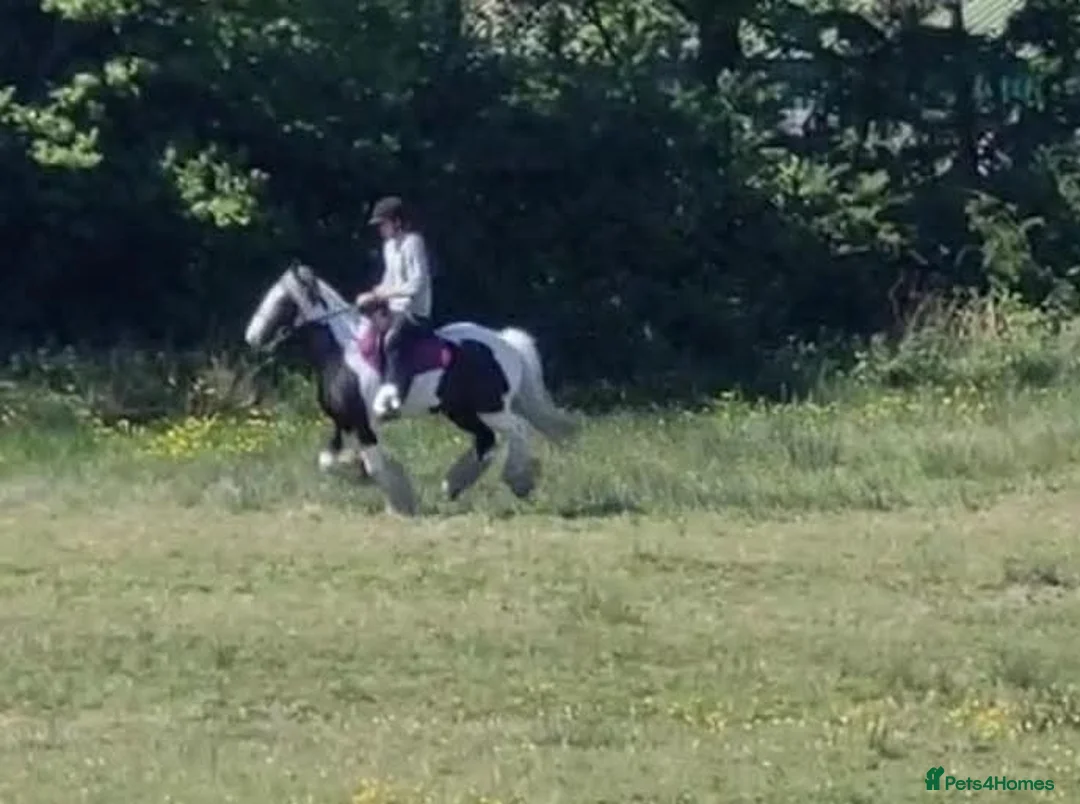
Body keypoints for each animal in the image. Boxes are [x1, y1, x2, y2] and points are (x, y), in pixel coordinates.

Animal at [242, 262, 580, 515]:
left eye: (282, 301)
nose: (252, 337)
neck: (343, 352)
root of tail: (504, 342)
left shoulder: (364, 424)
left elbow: (376, 465)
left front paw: (400, 502)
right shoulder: (344, 423)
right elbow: (328, 462)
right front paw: (361, 474)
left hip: (491, 408)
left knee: (519, 429)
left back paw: (519, 481)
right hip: (462, 412)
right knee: (486, 441)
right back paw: (454, 485)